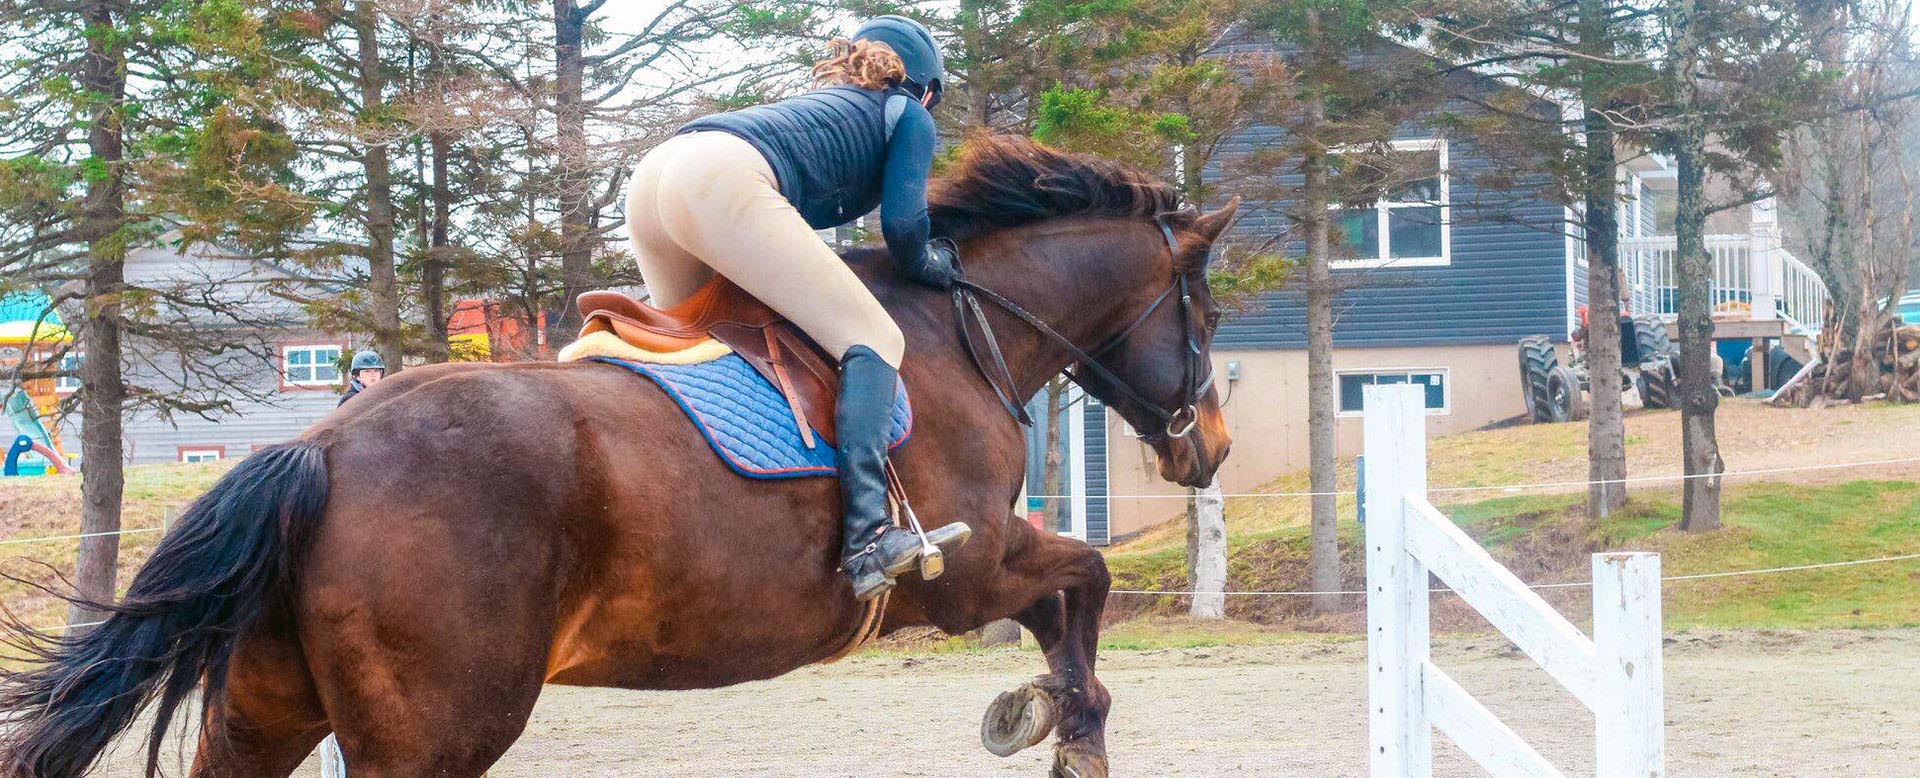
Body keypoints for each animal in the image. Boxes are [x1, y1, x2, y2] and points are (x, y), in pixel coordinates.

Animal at [0, 138, 1236, 776]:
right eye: (1207, 314)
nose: (1212, 447)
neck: (957, 329)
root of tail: (319, 448)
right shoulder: (966, 571)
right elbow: (1087, 580)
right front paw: (1065, 725)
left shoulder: (981, 573)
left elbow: (1076, 596)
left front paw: (1041, 711)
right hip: (432, 734)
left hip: (265, 707)